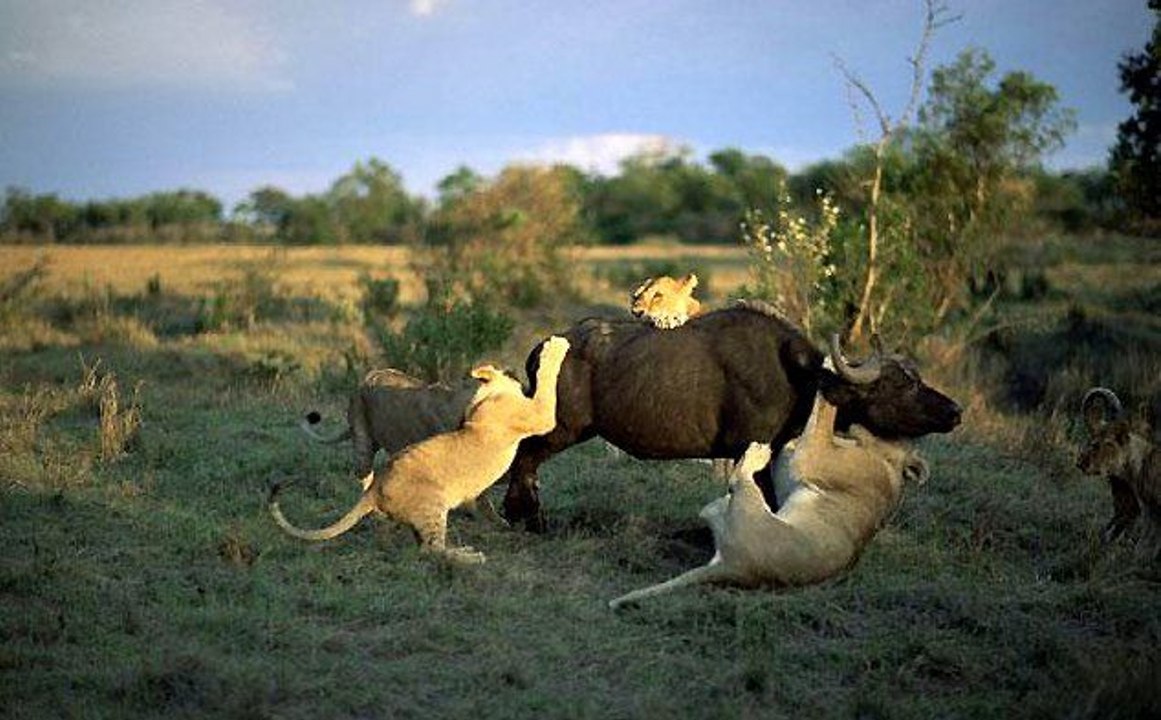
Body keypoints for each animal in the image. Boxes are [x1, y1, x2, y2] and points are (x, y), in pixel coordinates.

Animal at [269, 336, 570, 564]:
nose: (516, 372)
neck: (478, 400)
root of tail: (376, 490)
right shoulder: (539, 414)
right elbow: (546, 389)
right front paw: (556, 347)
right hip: (408, 485)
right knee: (430, 550)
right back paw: (469, 556)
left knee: (423, 545)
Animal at [503, 301, 962, 530]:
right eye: (902, 385)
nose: (955, 412)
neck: (798, 377)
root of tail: (542, 346)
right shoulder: (752, 450)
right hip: (561, 430)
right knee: (524, 460)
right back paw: (526, 519)